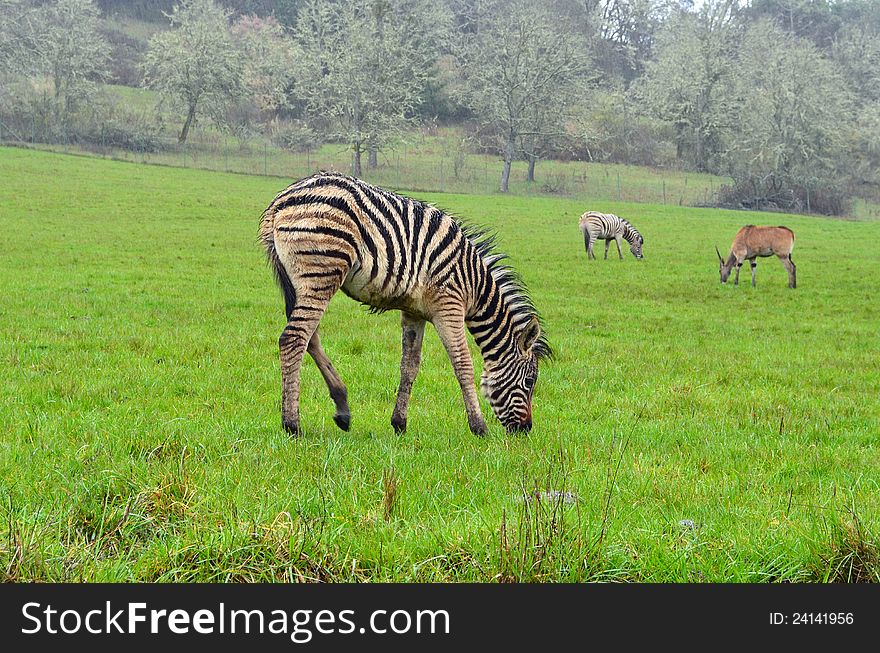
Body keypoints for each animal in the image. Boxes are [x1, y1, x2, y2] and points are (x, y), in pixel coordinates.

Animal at [260, 173, 552, 438]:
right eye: (530, 381)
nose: (526, 430)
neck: (474, 285)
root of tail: (281, 200)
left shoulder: (414, 312)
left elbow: (409, 365)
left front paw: (399, 423)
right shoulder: (449, 307)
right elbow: (463, 365)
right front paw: (479, 427)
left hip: (298, 282)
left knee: (311, 339)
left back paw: (342, 409)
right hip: (321, 274)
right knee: (294, 339)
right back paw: (292, 424)